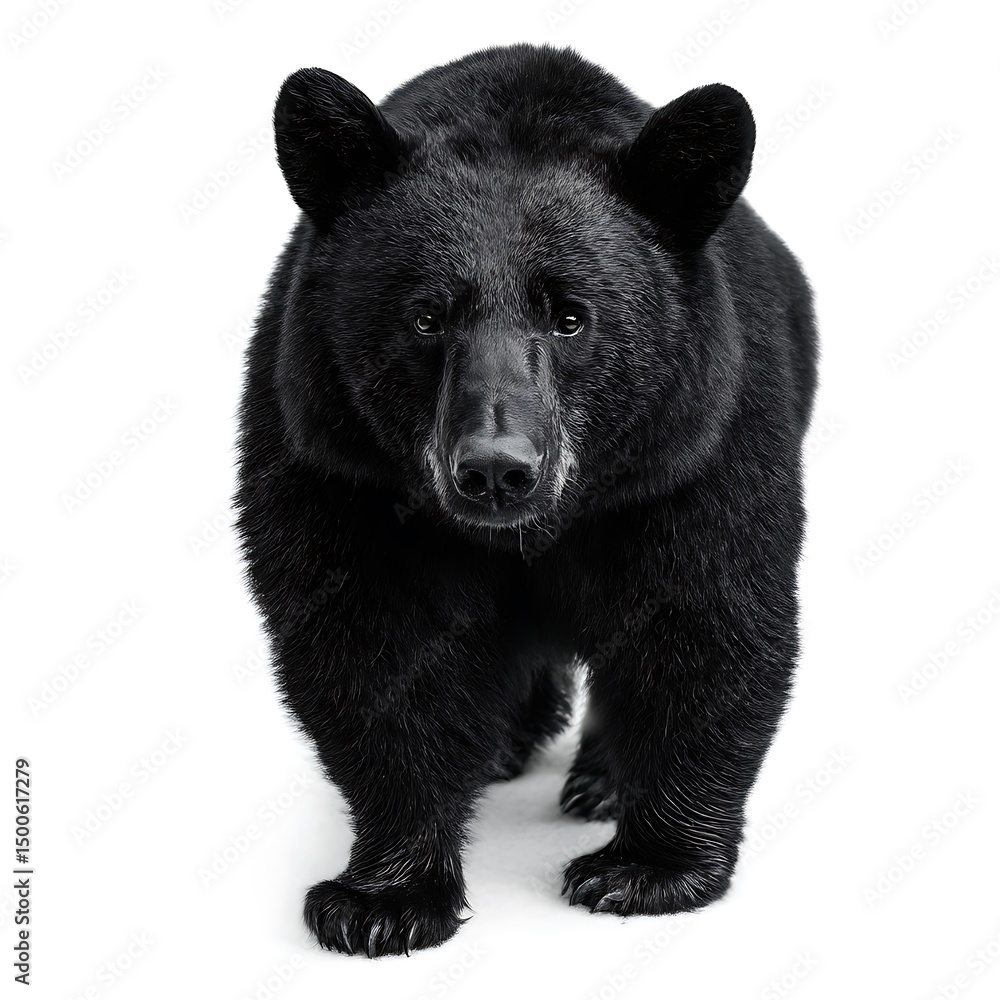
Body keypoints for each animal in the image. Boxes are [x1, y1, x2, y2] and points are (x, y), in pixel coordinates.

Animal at [234, 42, 817, 958]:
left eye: (572, 316)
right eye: (427, 316)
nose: (496, 469)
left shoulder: (697, 446)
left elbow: (706, 618)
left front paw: (644, 869)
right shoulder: (336, 459)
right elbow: (371, 643)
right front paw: (382, 899)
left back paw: (601, 780)